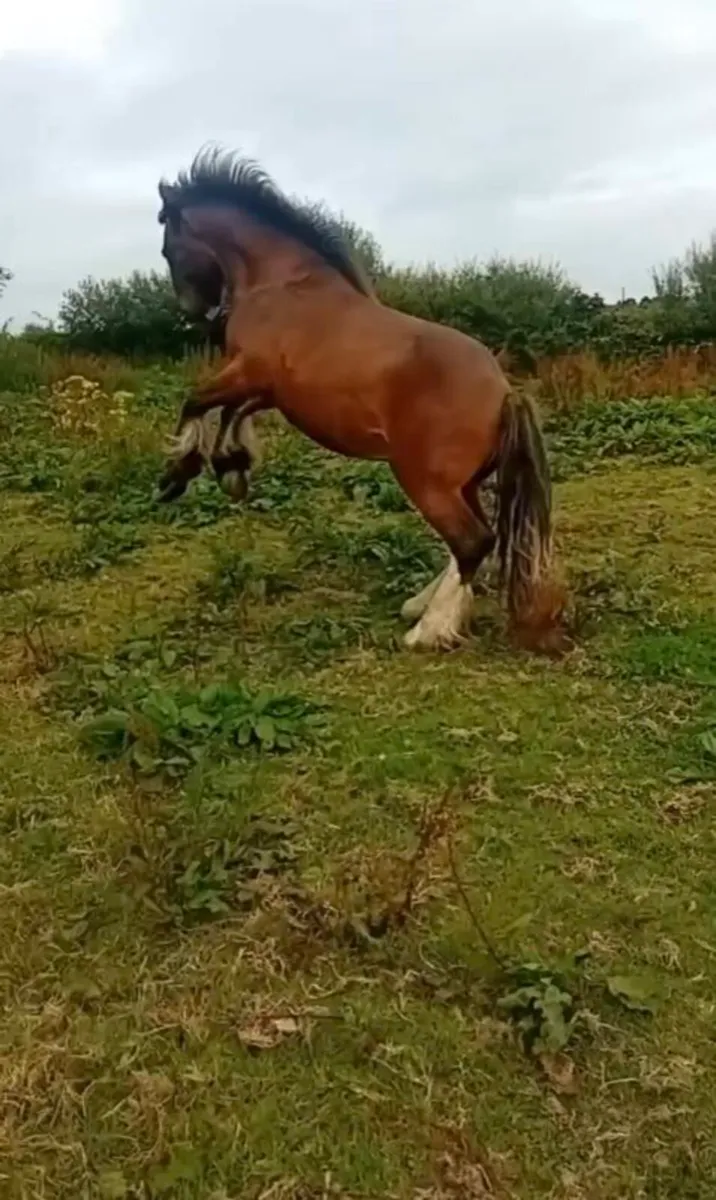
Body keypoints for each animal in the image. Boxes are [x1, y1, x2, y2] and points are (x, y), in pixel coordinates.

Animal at [156, 146, 567, 653]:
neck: (283, 283)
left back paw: (427, 630)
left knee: (472, 541)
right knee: (472, 542)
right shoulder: (270, 390)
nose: (194, 311)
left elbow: (196, 402)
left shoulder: (249, 372)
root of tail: (505, 392)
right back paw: (421, 605)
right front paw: (232, 467)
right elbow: (233, 412)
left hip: (423, 480)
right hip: (462, 483)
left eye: (167, 241)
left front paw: (179, 474)